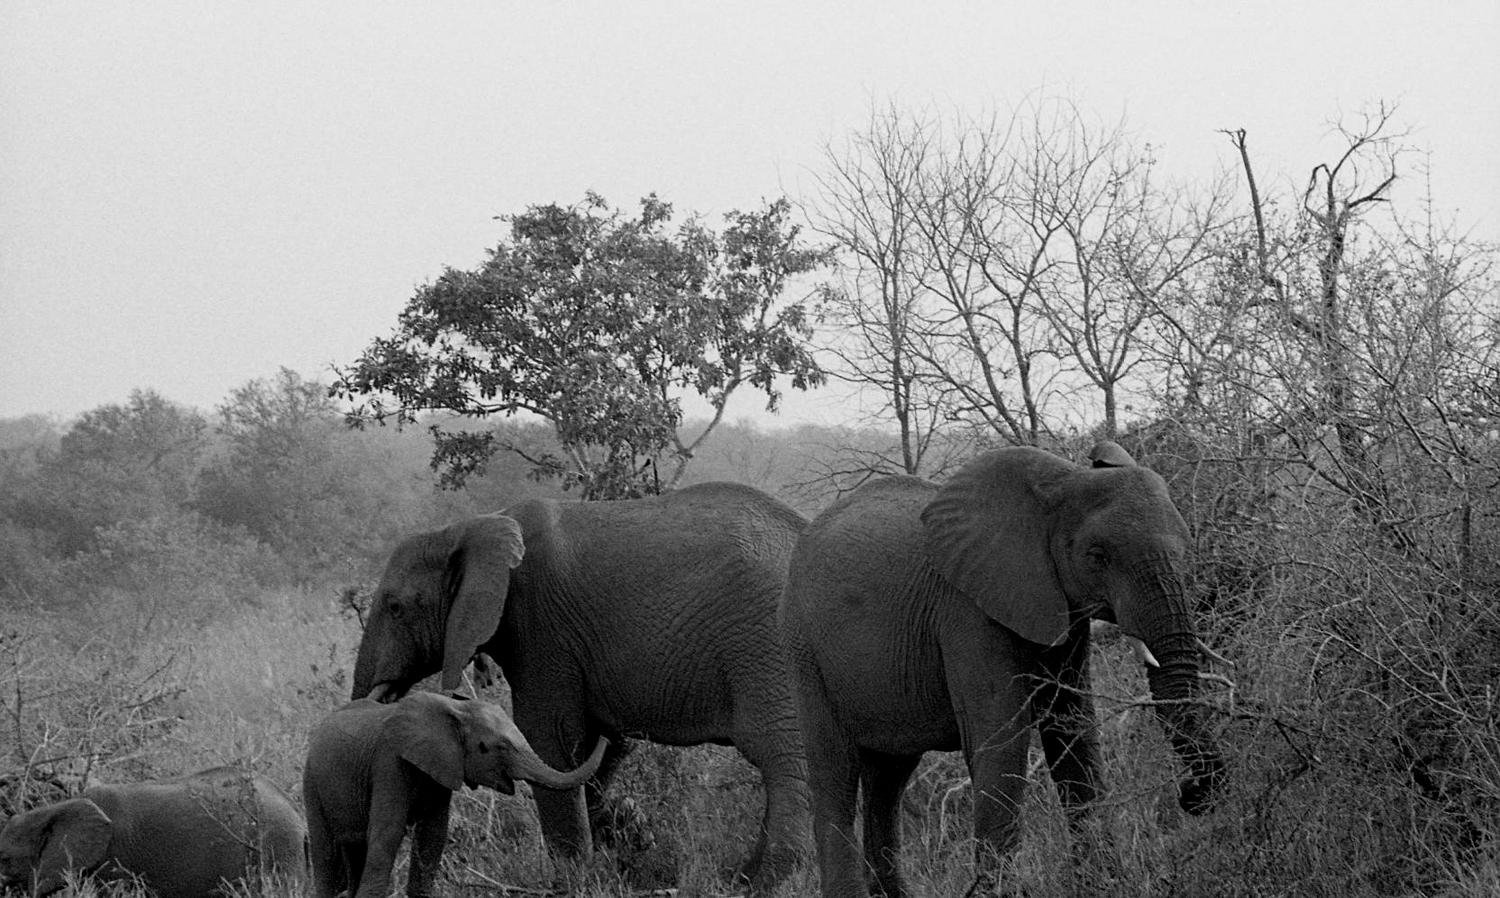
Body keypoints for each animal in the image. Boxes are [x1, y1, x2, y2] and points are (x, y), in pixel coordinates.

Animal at [301, 692, 606, 898]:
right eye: (491, 747)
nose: (605, 734)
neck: (456, 709)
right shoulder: (389, 762)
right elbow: (387, 833)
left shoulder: (442, 768)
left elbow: (433, 836)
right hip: (311, 782)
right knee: (325, 852)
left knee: (354, 849)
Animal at [349, 482, 816, 887]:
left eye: (395, 607)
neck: (469, 526)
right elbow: (595, 750)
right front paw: (626, 840)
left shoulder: (541, 629)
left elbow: (550, 738)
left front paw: (573, 879)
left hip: (767, 645)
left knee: (782, 757)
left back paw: (761, 881)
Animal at [780, 443, 1224, 898]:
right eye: (1098, 557)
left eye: (1186, 549)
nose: (1190, 794)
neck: (1061, 483)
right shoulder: (966, 609)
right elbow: (1001, 737)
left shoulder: (1061, 611)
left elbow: (1073, 729)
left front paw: (1105, 885)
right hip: (804, 650)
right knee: (835, 776)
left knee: (888, 778)